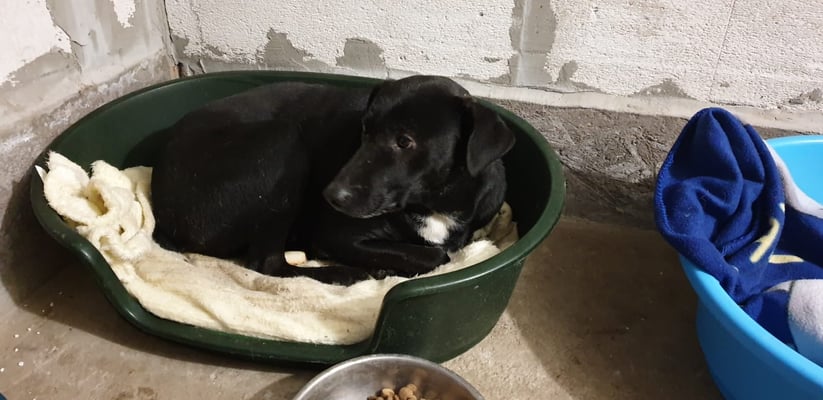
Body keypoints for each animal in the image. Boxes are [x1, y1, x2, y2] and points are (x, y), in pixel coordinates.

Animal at [150, 75, 515, 285]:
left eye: (405, 141)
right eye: (364, 130)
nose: (331, 196)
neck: (435, 204)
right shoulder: (336, 235)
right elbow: (435, 256)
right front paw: (385, 268)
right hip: (281, 142)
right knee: (266, 263)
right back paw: (341, 273)